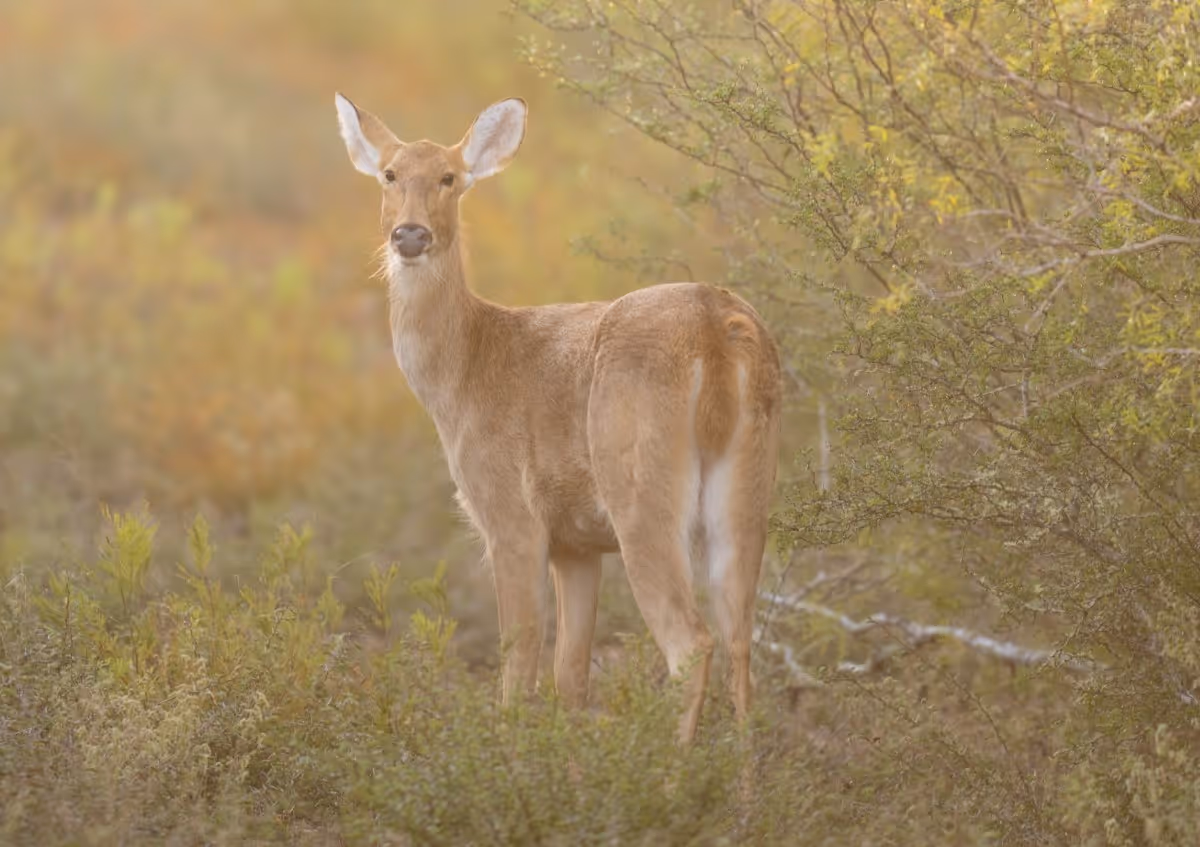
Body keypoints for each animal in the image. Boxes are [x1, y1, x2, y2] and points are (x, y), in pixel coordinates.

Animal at [334, 93, 782, 743]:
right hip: (748, 481)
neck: (466, 369)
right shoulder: (577, 544)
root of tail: (714, 326)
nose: (410, 234)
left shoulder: (512, 516)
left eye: (450, 177)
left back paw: (677, 767)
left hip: (639, 487)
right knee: (742, 637)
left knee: (691, 642)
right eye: (390, 175)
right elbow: (570, 678)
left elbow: (518, 666)